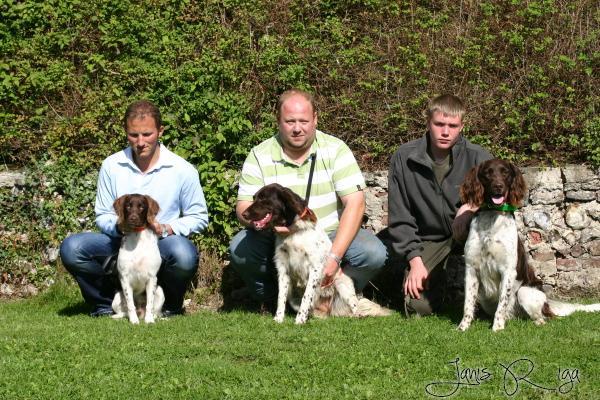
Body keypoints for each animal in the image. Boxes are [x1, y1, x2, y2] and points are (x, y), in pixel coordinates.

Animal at [111, 193, 164, 324]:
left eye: (141, 207)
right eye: (128, 206)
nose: (133, 218)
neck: (137, 239)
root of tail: (141, 312)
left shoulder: (152, 278)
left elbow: (150, 303)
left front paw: (149, 321)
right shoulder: (124, 277)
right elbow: (130, 304)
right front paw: (134, 321)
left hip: (160, 291)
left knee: (156, 311)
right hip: (116, 297)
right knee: (123, 312)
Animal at [243, 183, 389, 324]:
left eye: (263, 198)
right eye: (254, 198)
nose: (244, 214)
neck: (293, 233)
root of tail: (329, 310)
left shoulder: (314, 269)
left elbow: (306, 297)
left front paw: (300, 320)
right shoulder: (283, 268)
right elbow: (281, 297)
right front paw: (278, 319)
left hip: (342, 283)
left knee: (355, 308)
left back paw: (357, 315)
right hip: (295, 297)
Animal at [457, 159, 600, 331]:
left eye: (505, 172)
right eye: (487, 173)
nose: (498, 186)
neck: (492, 218)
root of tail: (548, 303)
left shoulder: (508, 270)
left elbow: (502, 303)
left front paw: (497, 329)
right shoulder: (471, 268)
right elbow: (467, 304)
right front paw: (462, 328)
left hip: (524, 292)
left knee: (543, 319)